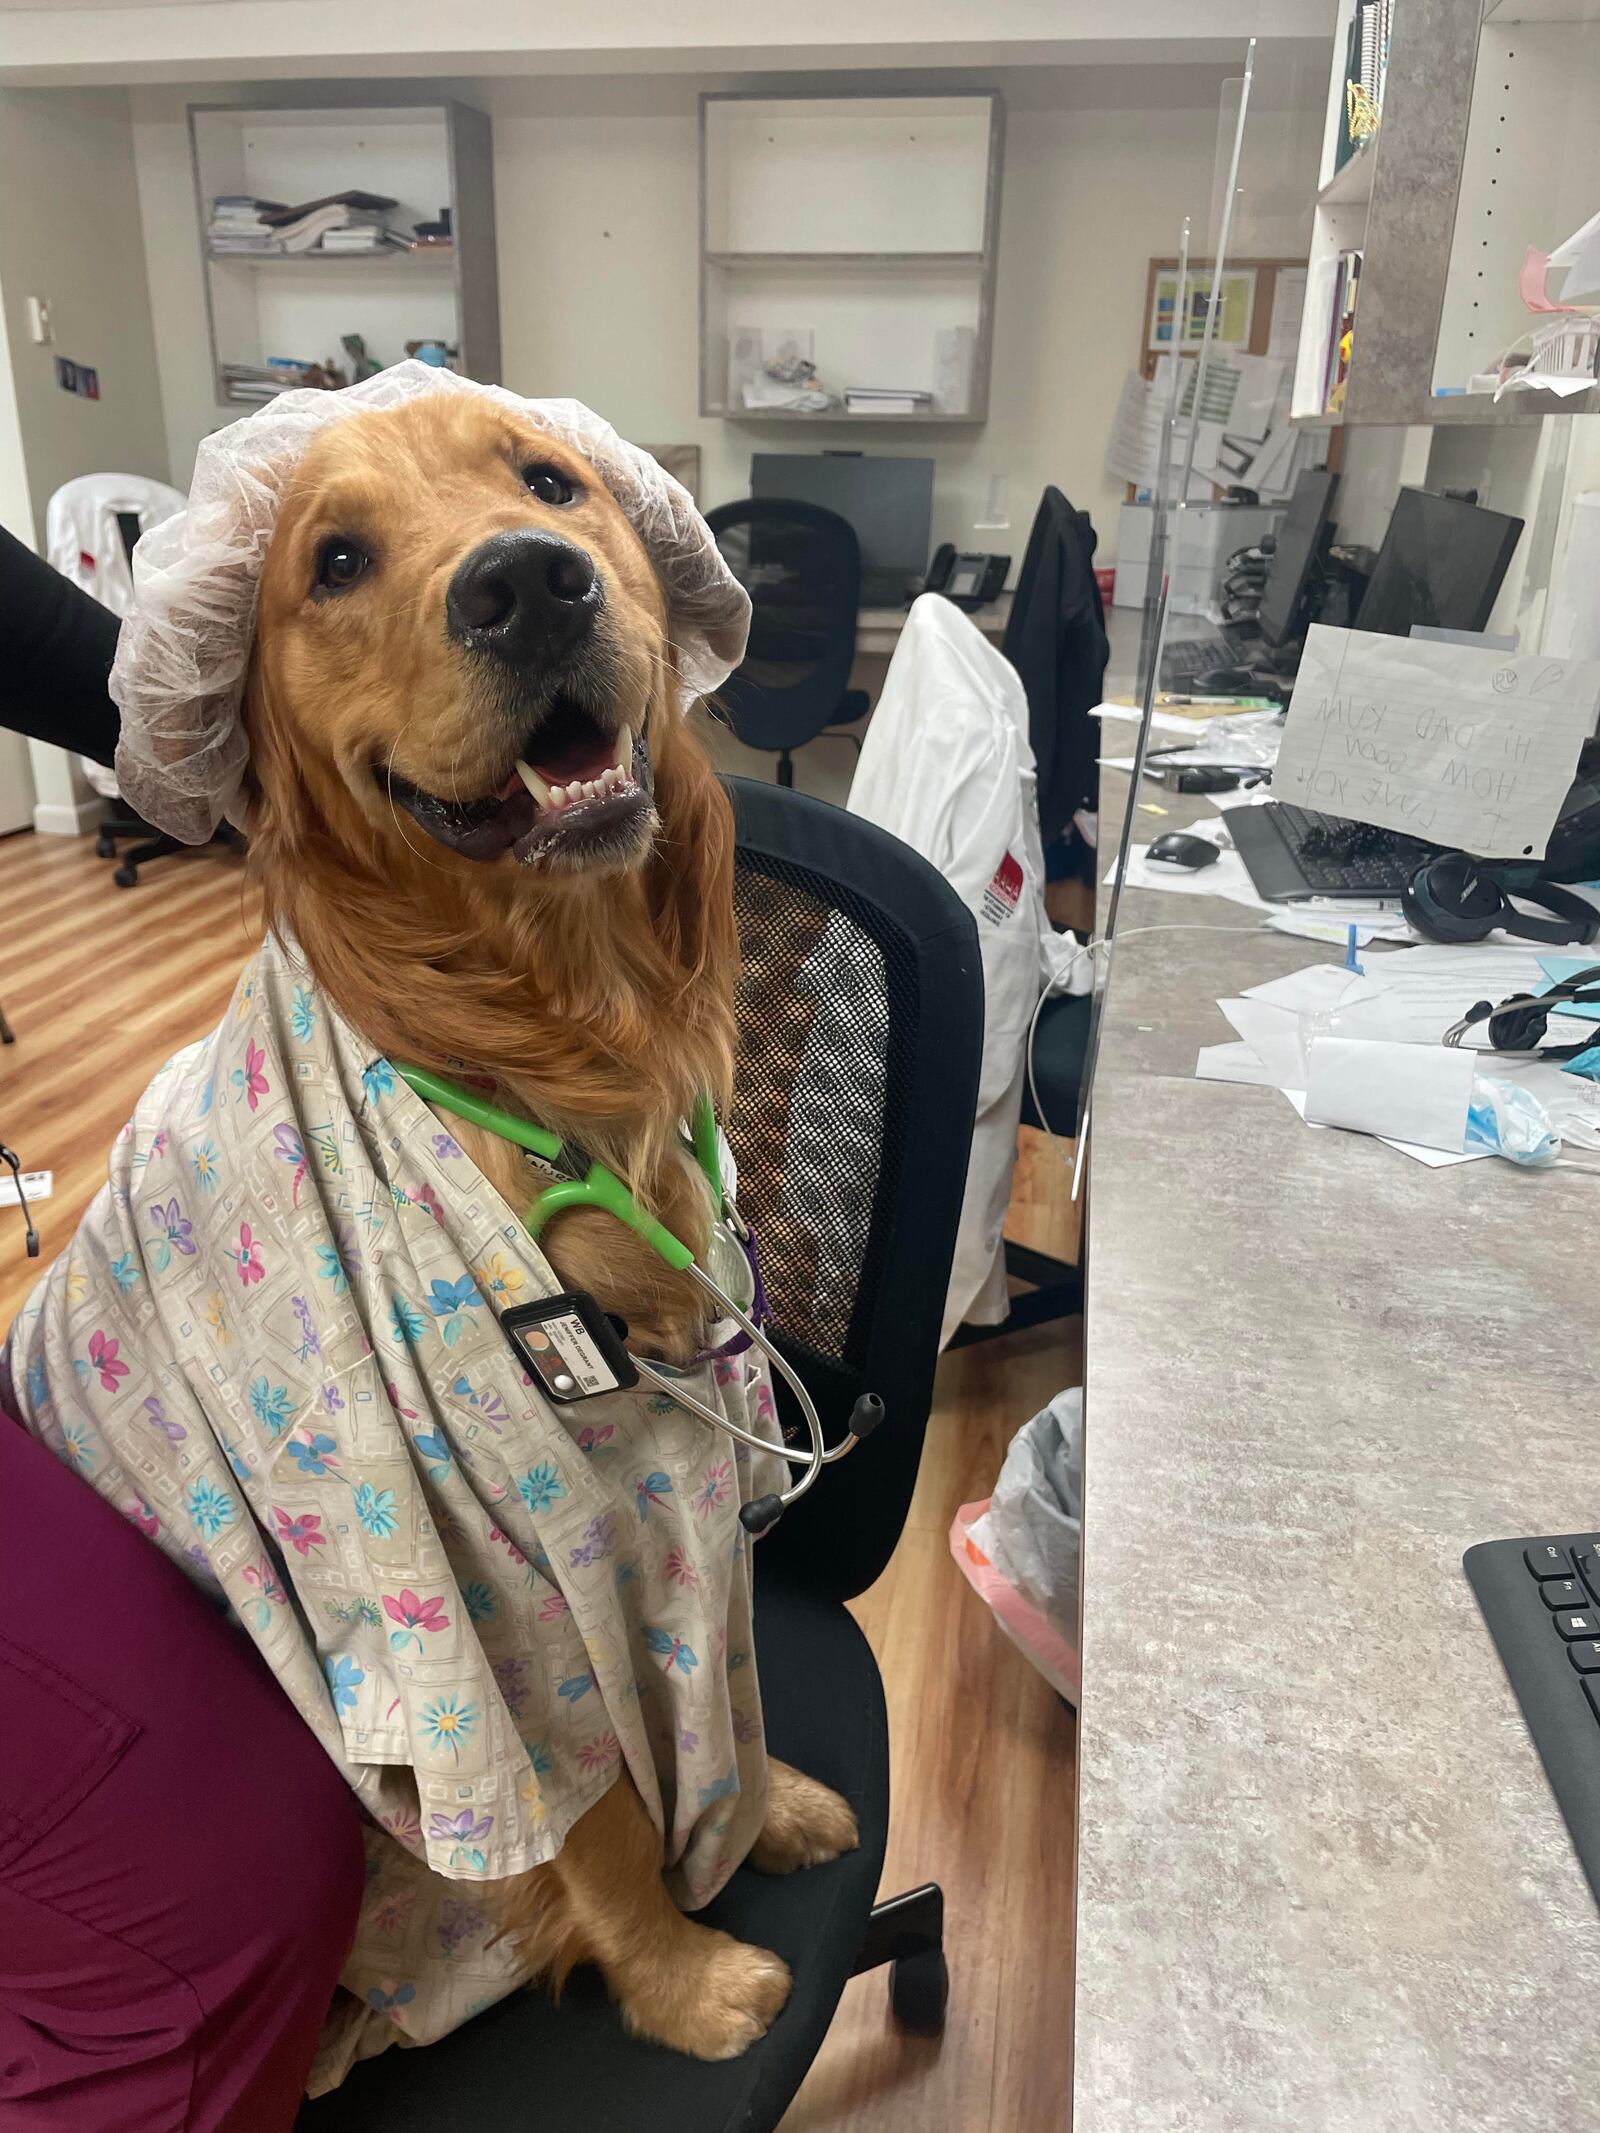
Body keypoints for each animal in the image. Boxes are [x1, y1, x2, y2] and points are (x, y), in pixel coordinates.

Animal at [241, 392, 866, 2056]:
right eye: (334, 560)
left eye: (548, 479)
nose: (529, 582)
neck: (561, 1038)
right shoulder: (496, 1622)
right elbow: (601, 1833)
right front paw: (686, 1983)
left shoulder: (702, 1498)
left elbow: (735, 1692)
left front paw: (775, 1806)